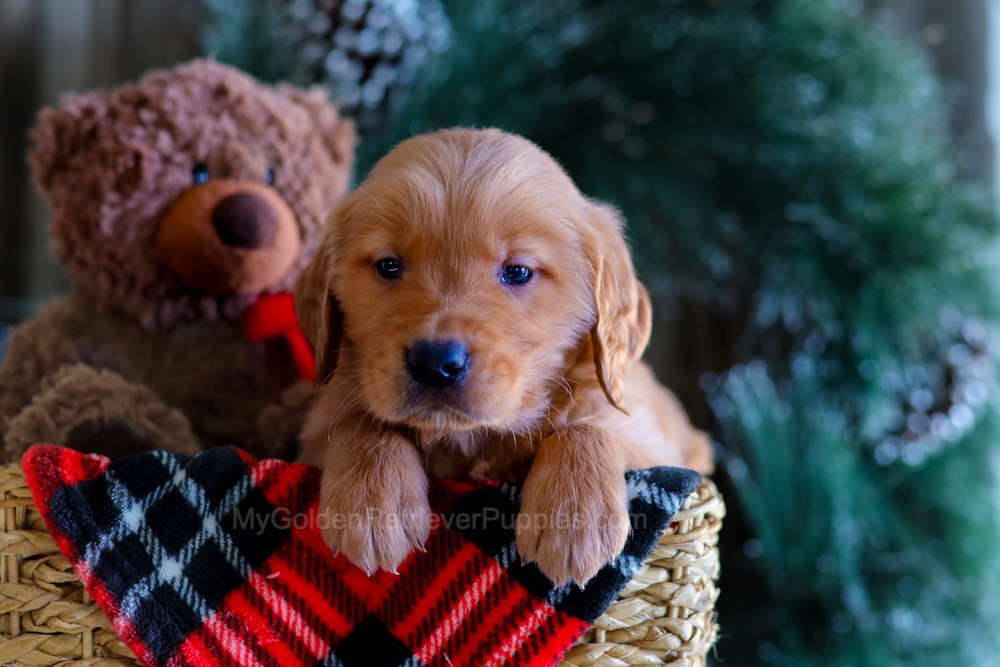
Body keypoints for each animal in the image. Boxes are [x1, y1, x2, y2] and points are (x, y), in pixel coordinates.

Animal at [295, 128, 713, 585]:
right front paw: (371, 507)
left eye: (517, 272)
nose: (435, 363)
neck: (474, 439)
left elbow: (584, 426)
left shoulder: (654, 444)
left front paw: (573, 518)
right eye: (388, 265)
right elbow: (364, 421)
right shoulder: (314, 431)